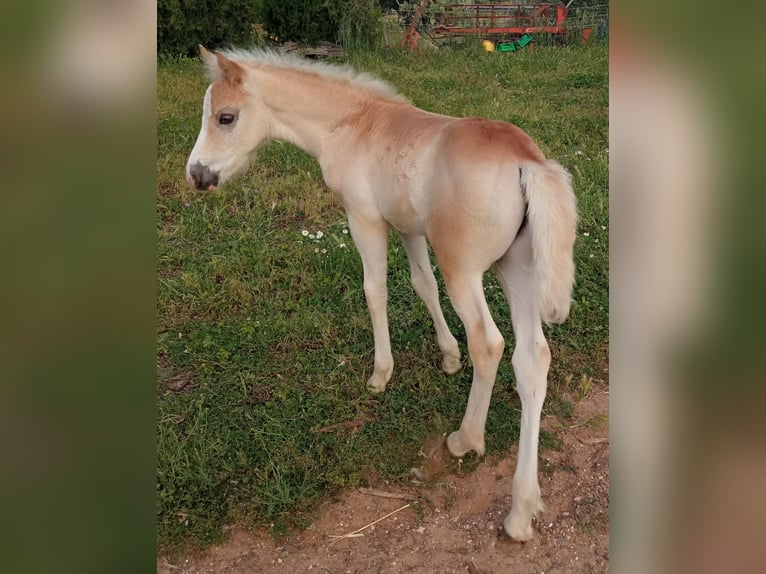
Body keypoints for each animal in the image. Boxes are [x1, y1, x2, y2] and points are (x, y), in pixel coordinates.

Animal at [186, 46, 577, 541]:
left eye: (226, 117)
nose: (197, 175)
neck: (352, 124)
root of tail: (527, 162)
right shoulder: (406, 224)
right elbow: (422, 283)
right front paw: (448, 357)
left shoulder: (365, 218)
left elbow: (375, 290)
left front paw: (380, 375)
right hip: (518, 268)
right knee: (532, 358)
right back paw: (521, 512)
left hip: (466, 269)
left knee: (489, 344)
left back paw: (466, 440)